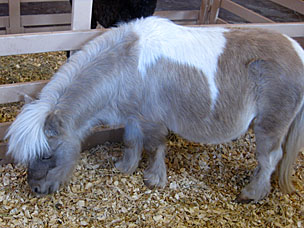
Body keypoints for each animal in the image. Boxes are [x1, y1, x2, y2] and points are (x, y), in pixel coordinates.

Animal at [5, 16, 304, 202]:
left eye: (46, 154)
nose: (36, 189)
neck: (128, 64)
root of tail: (297, 51)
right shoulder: (133, 117)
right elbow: (131, 142)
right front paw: (125, 167)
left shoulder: (152, 120)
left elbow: (155, 146)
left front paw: (154, 179)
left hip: (269, 126)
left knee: (269, 158)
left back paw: (252, 193)